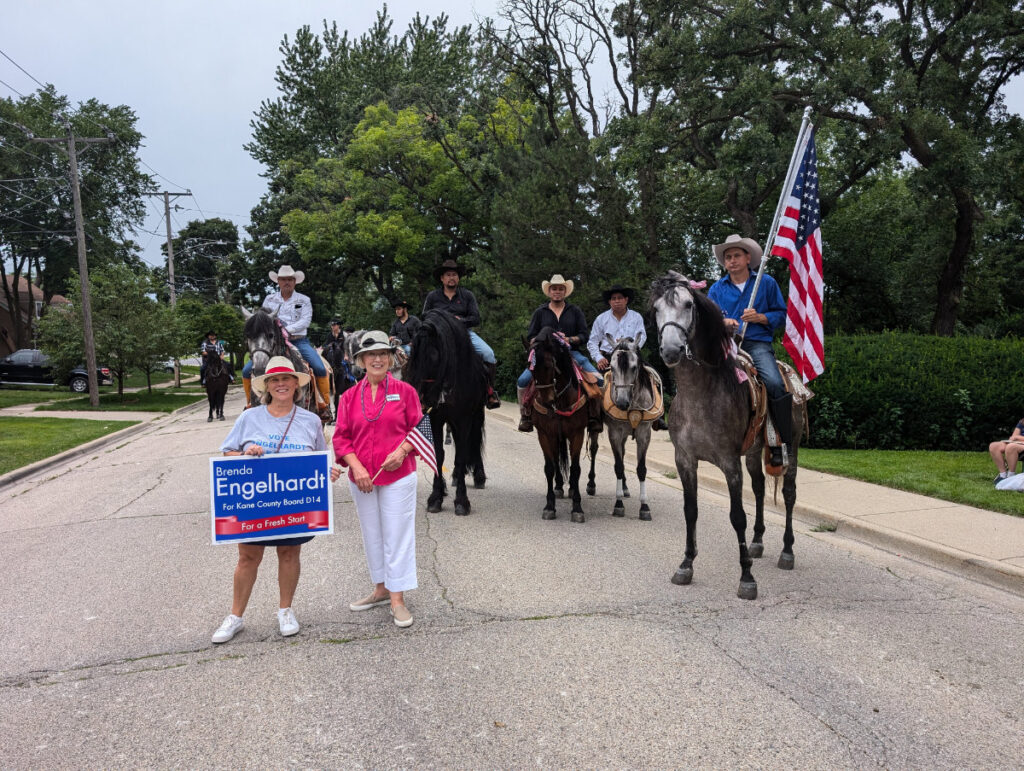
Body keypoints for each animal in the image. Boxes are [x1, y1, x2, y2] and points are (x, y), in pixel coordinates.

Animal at [403, 309, 487, 518]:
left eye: (432, 355)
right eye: (413, 354)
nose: (419, 396)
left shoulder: (464, 420)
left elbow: (462, 455)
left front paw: (462, 501)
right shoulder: (435, 418)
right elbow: (439, 454)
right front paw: (436, 496)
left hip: (475, 416)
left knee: (473, 444)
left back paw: (478, 476)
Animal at [528, 325, 598, 524]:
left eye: (549, 366)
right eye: (531, 370)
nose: (546, 400)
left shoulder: (577, 434)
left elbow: (575, 469)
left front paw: (577, 508)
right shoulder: (545, 434)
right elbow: (550, 467)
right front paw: (549, 506)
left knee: (593, 450)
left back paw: (583, 486)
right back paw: (559, 487)